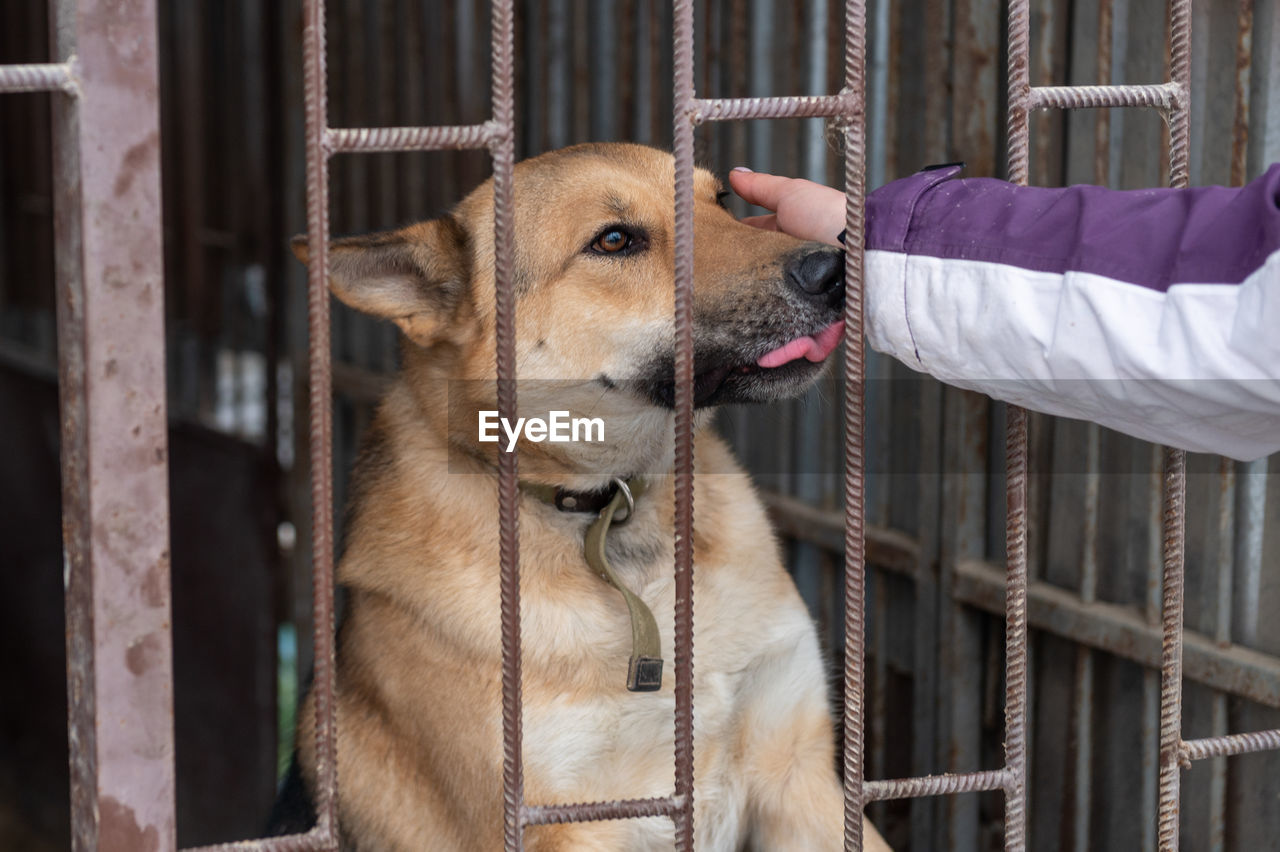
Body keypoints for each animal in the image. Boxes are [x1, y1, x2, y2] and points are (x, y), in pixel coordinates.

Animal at [288, 144, 890, 849]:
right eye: (614, 241)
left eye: (722, 201)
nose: (834, 269)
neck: (612, 510)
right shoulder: (569, 822)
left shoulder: (799, 777)